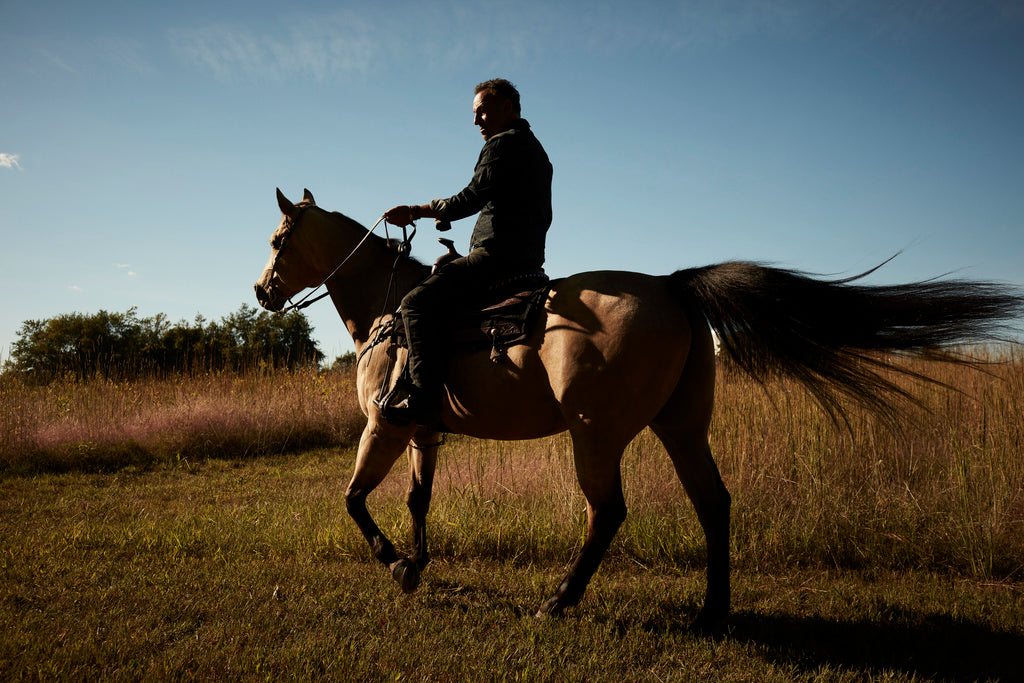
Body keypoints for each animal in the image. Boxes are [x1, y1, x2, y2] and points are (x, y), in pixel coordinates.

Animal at [251, 189, 1019, 634]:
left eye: (278, 240)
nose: (261, 291)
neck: (392, 311)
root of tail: (673, 286)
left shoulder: (384, 423)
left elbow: (354, 499)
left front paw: (396, 566)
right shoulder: (422, 430)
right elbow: (417, 500)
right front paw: (415, 563)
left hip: (594, 434)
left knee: (607, 512)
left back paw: (560, 601)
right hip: (682, 426)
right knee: (713, 502)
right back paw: (712, 611)